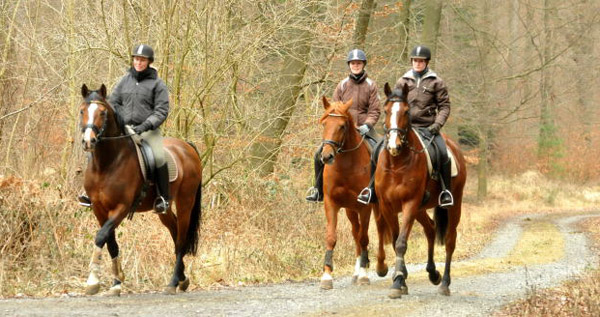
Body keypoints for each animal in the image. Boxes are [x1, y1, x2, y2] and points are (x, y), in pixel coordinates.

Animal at [79, 83, 203, 294]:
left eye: (102, 113)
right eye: (82, 111)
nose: (89, 141)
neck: (107, 163)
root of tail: (187, 147)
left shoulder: (121, 207)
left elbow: (101, 236)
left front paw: (93, 281)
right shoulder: (98, 209)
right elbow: (111, 243)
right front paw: (117, 282)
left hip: (186, 202)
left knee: (181, 239)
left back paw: (173, 283)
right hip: (164, 209)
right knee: (174, 231)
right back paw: (182, 279)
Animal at [316, 97, 386, 288]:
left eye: (342, 126)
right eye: (324, 123)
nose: (327, 157)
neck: (346, 166)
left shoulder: (364, 207)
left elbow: (364, 238)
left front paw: (363, 275)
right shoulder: (331, 204)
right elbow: (331, 237)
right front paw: (327, 276)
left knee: (376, 231)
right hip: (350, 210)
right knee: (355, 232)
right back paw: (356, 271)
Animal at [378, 82, 466, 298]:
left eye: (406, 111)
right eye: (386, 110)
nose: (393, 145)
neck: (396, 164)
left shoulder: (410, 203)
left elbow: (401, 243)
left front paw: (397, 283)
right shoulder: (387, 206)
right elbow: (395, 241)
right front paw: (400, 280)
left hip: (454, 205)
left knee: (450, 240)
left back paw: (444, 283)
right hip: (420, 209)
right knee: (431, 229)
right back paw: (433, 273)